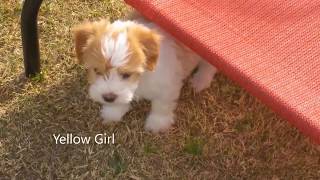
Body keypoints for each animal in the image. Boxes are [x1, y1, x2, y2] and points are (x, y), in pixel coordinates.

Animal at [72, 15, 218, 133]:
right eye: (97, 71)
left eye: (127, 74)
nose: (108, 98)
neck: (141, 80)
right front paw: (112, 112)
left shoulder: (167, 86)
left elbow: (161, 106)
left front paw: (157, 124)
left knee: (210, 65)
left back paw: (201, 80)